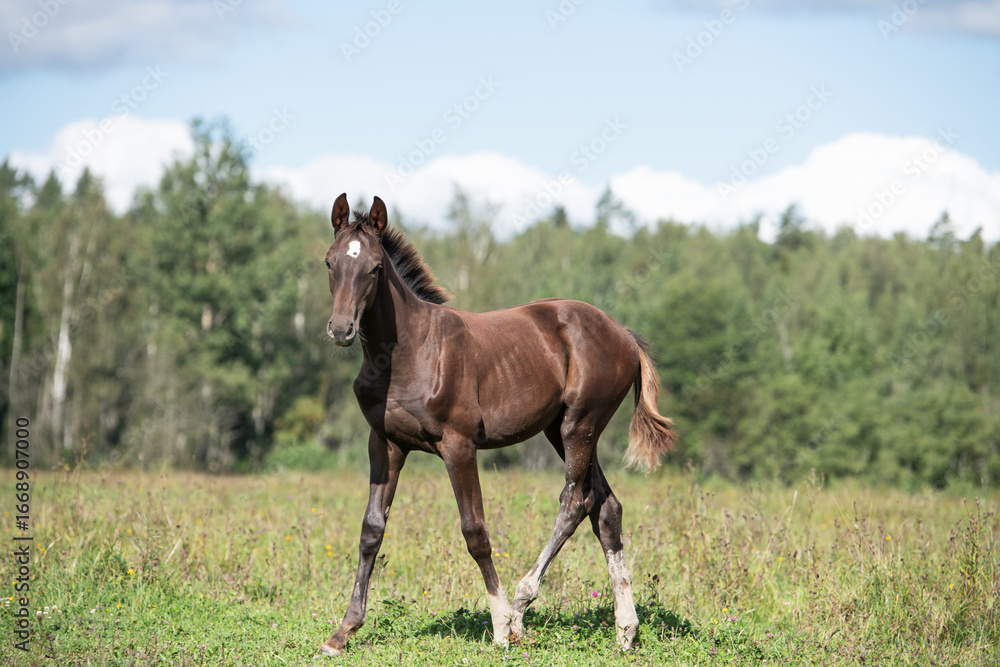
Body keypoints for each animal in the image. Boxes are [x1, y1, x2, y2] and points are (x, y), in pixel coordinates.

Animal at [319, 194, 676, 657]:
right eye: (329, 262)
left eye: (376, 267)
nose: (341, 329)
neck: (407, 353)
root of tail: (625, 334)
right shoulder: (384, 443)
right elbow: (371, 530)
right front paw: (343, 631)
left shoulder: (458, 445)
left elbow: (475, 531)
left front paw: (500, 624)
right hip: (564, 430)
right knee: (605, 506)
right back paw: (626, 628)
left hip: (579, 425)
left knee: (574, 502)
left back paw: (521, 606)